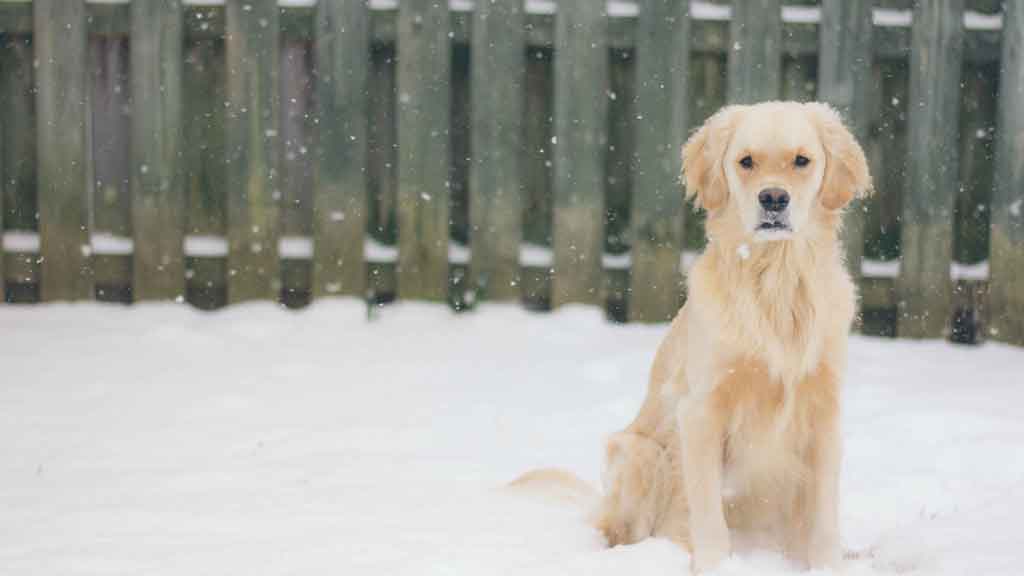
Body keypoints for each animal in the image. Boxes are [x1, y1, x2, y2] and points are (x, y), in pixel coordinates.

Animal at [512, 101, 872, 569]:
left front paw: (827, 565)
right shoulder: (700, 411)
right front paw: (714, 566)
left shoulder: (825, 411)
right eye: (746, 161)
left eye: (801, 160)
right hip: (638, 453)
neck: (775, 283)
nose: (773, 198)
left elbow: (824, 514)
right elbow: (707, 511)